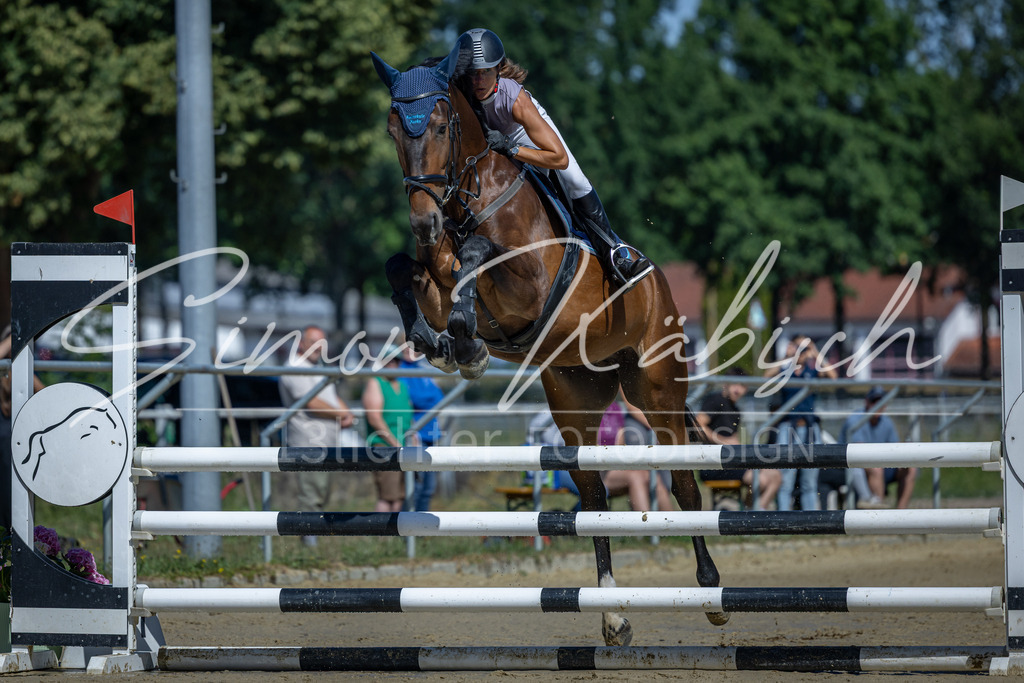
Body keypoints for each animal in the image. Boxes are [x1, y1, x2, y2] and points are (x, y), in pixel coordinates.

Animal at [371, 46, 728, 646]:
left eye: (442, 126)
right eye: (395, 129)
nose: (424, 221)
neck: (469, 200)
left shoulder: (528, 284)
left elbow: (475, 257)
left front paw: (465, 345)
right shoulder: (434, 271)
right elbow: (405, 269)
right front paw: (438, 340)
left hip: (656, 389)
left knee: (683, 484)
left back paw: (710, 592)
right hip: (573, 396)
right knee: (594, 495)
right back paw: (612, 613)